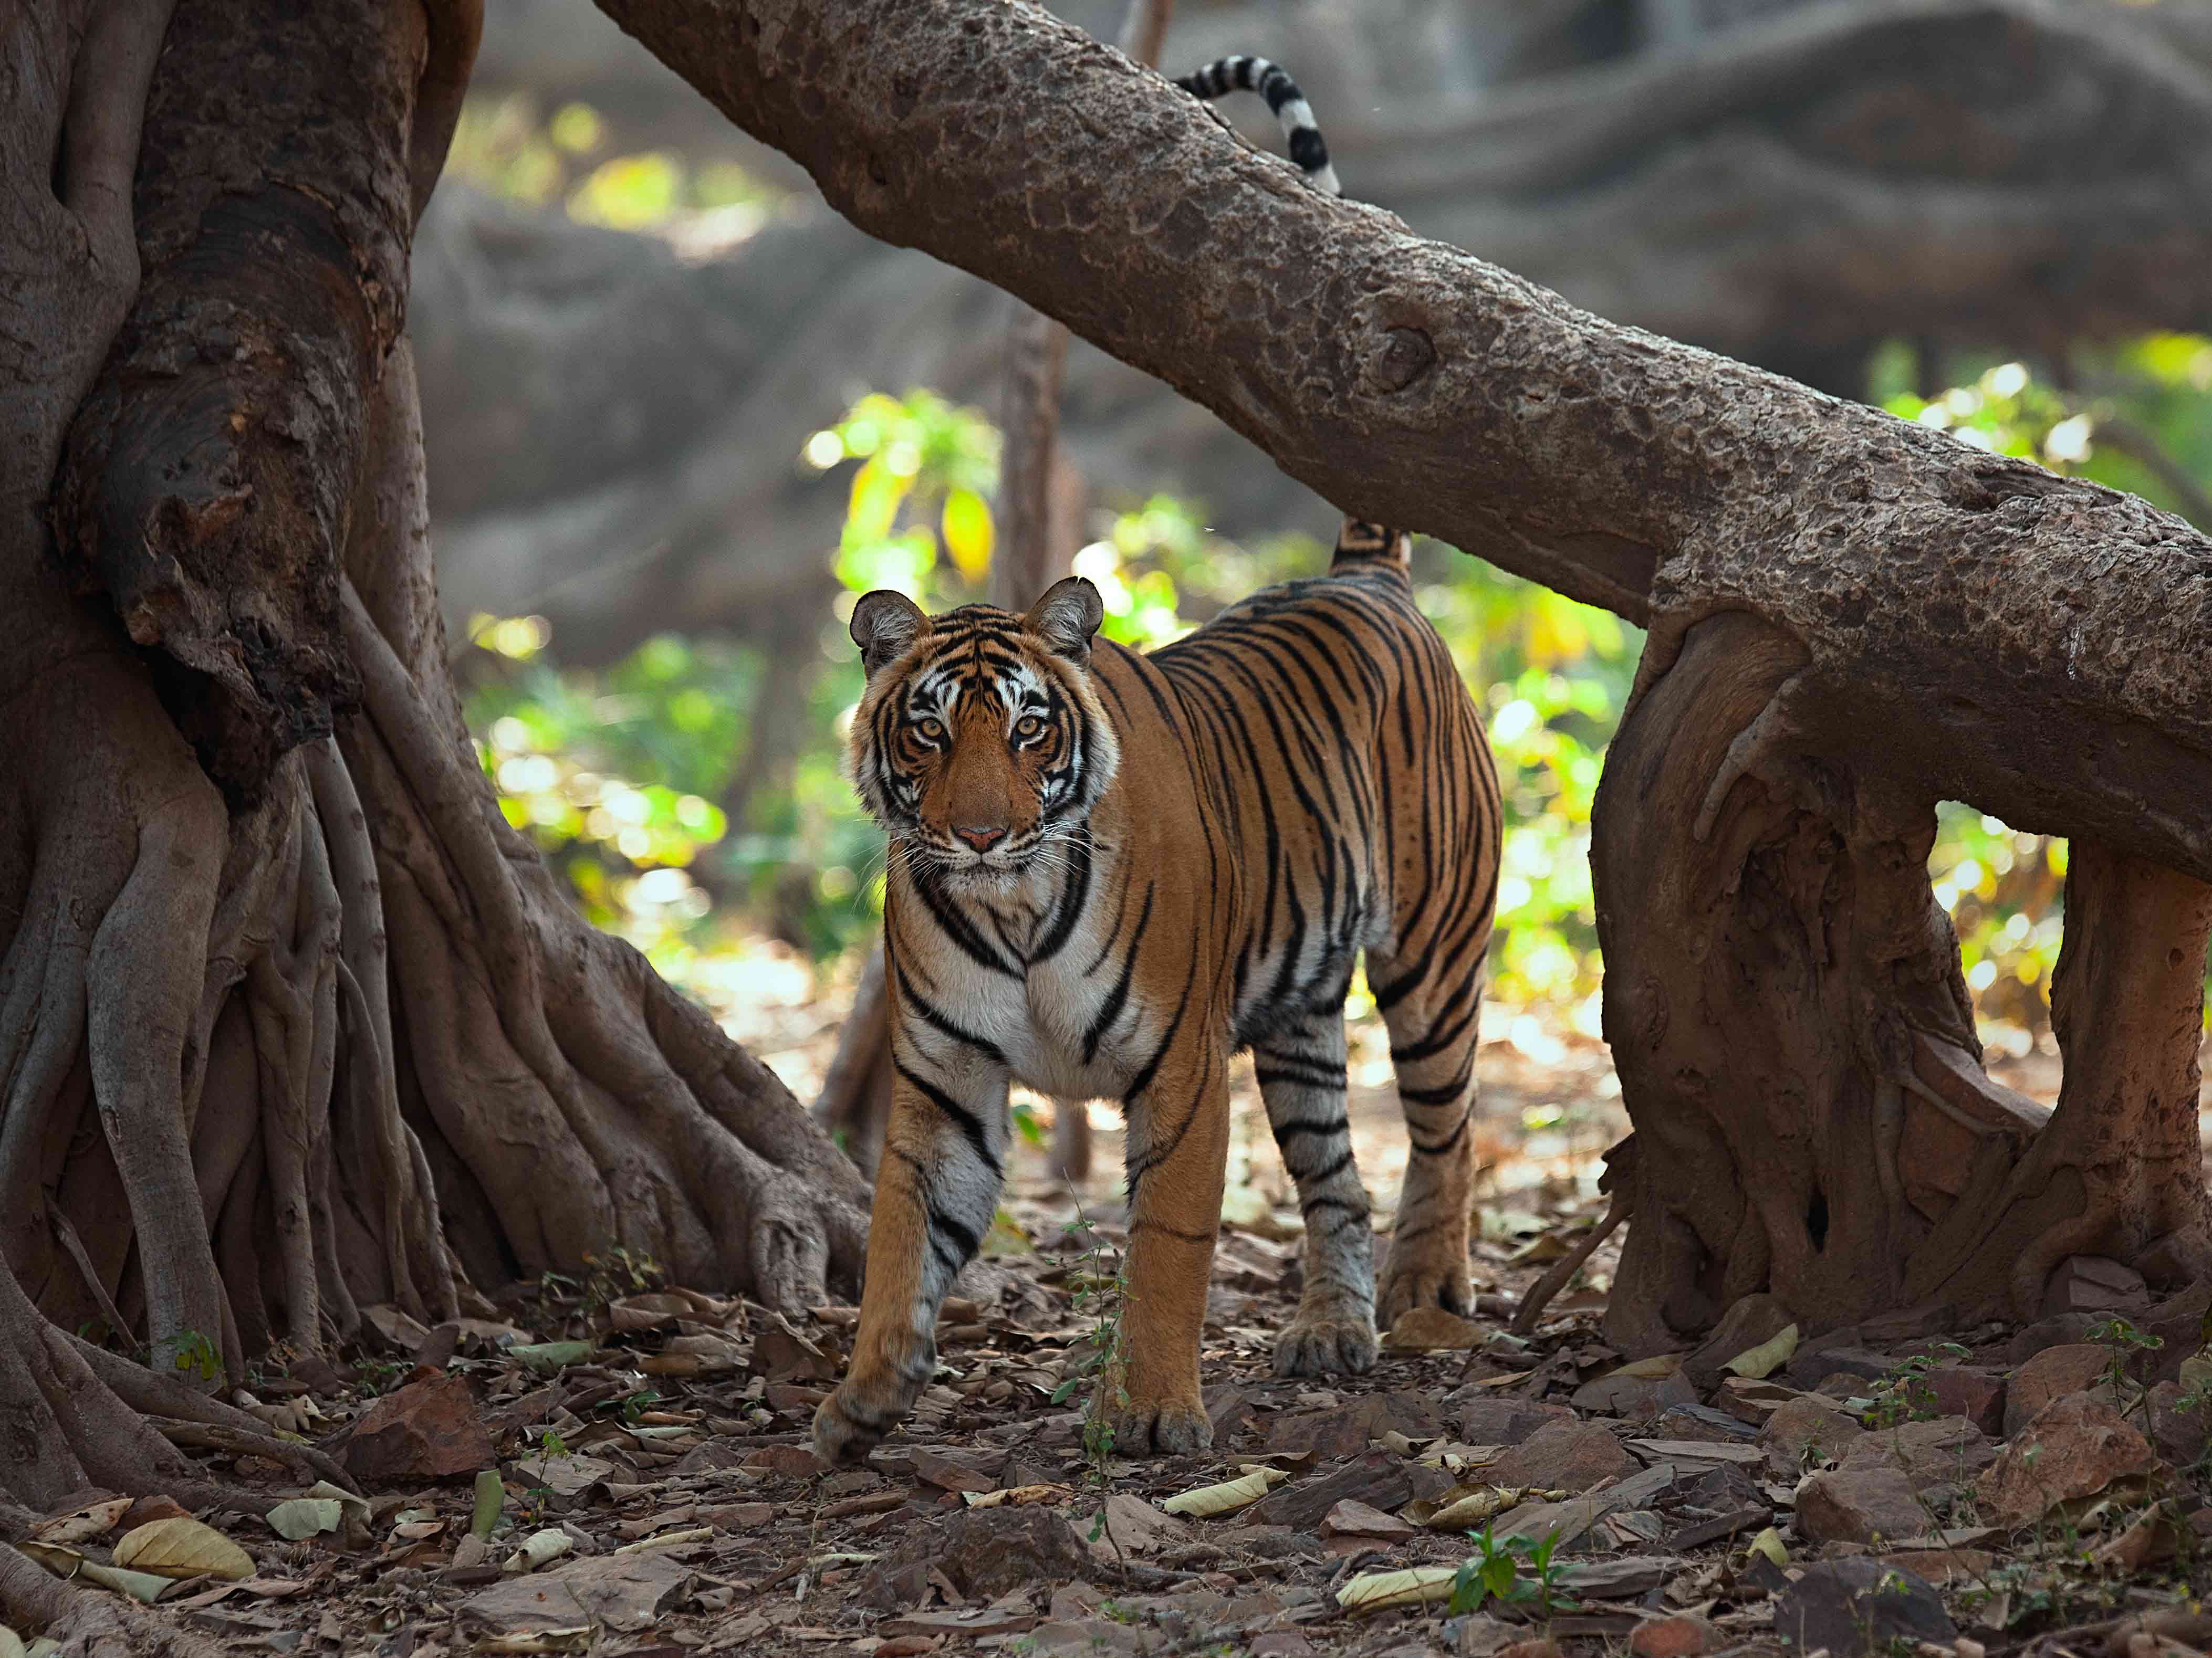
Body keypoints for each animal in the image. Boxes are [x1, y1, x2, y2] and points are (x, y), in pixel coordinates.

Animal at [814, 57, 1503, 1464]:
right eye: (928, 728)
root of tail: (1367, 575)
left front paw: (1154, 1413)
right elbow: (903, 1235)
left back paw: (1425, 1291)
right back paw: (1331, 1330)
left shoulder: (1179, 1072)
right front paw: (865, 1393)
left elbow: (1170, 1246)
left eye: (1028, 727)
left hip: (1432, 957)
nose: (978, 833)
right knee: (1337, 1176)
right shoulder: (943, 1081)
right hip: (1297, 1022)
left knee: (1447, 1129)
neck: (1010, 909)